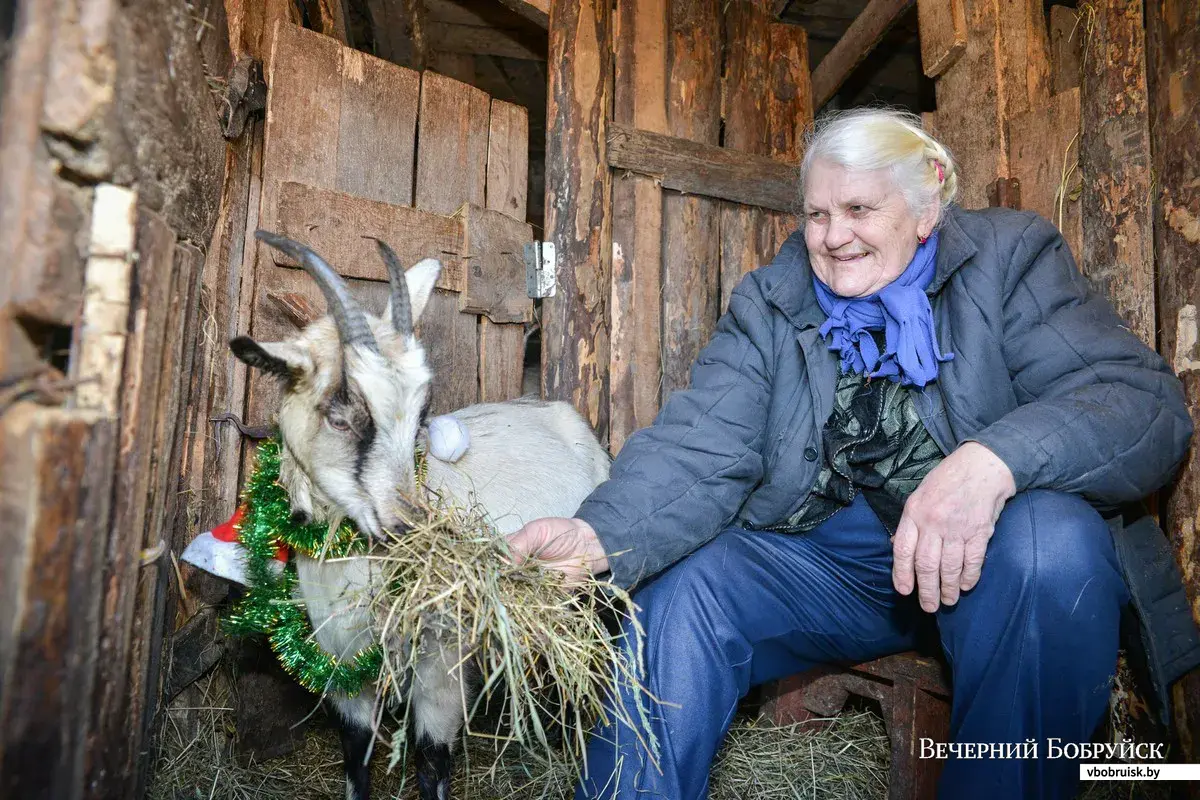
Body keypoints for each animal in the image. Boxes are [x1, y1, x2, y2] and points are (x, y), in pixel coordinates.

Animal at [229, 230, 614, 800]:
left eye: (421, 416)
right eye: (340, 416)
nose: (407, 525)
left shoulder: (441, 664)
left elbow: (431, 759)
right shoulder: (341, 659)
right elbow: (356, 754)